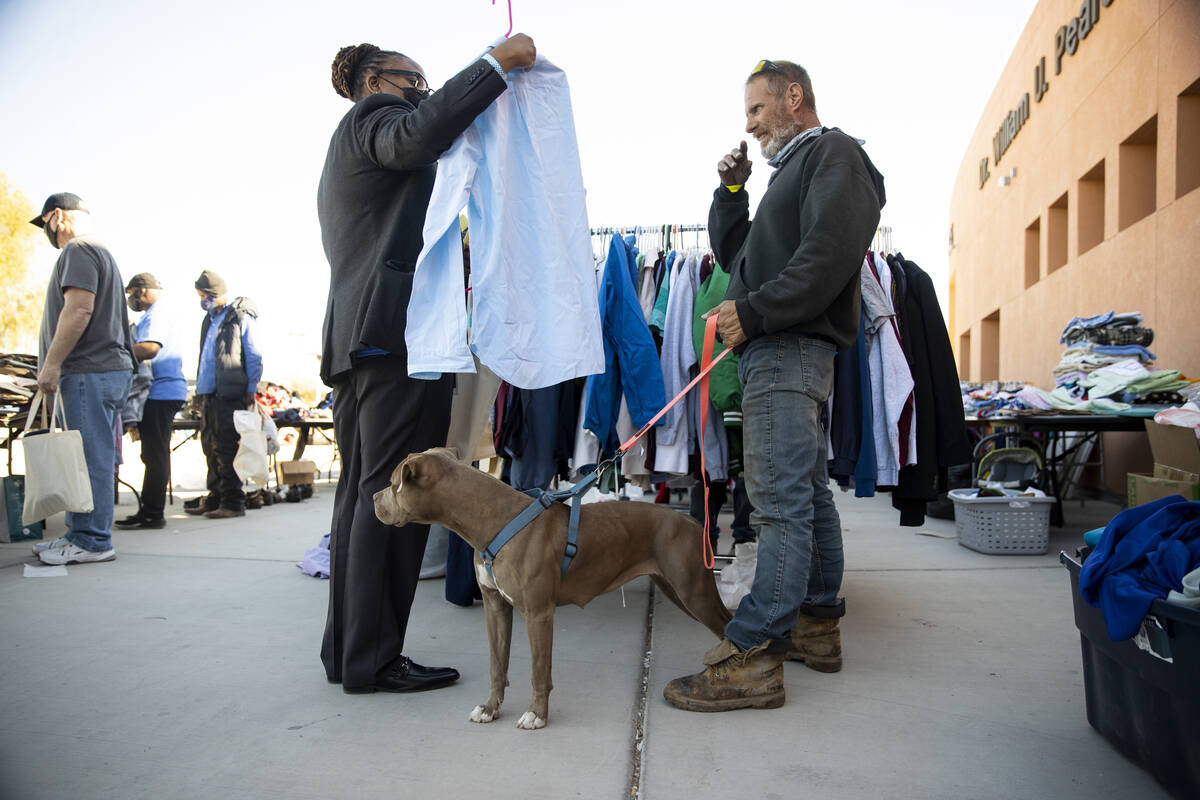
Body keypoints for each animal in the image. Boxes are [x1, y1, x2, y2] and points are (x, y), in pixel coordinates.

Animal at [374, 448, 729, 729]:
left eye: (393, 483)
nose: (375, 498)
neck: (491, 518)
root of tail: (692, 522)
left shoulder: (538, 613)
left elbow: (539, 669)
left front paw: (536, 715)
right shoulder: (495, 607)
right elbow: (496, 664)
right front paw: (490, 708)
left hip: (694, 592)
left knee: (727, 625)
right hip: (676, 589)